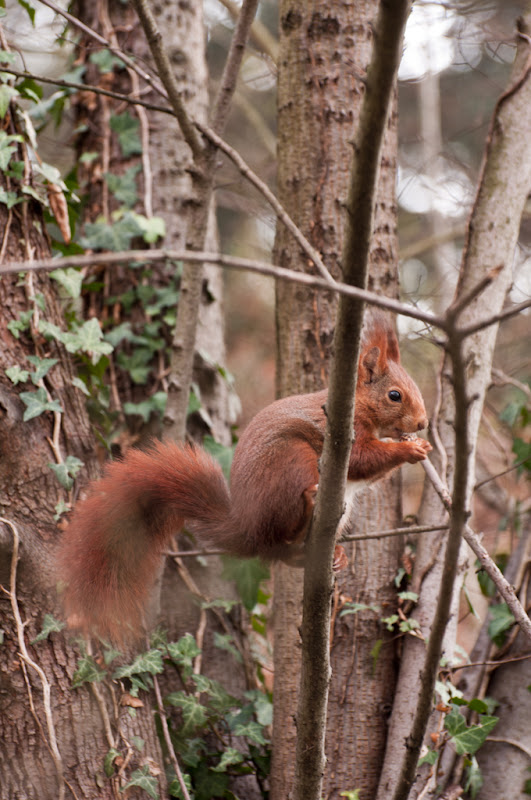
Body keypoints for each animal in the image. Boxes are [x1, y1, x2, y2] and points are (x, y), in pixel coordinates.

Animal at [58, 312, 432, 636]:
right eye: (394, 395)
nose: (423, 423)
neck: (356, 405)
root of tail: (250, 529)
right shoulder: (340, 433)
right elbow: (361, 460)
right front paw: (411, 450)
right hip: (292, 462)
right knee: (284, 533)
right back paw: (308, 510)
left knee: (284, 554)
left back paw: (331, 554)